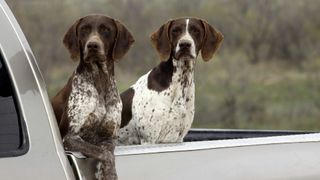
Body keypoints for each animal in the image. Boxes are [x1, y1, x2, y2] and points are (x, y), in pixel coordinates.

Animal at [51, 14, 134, 179]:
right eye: (84, 29)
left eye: (105, 29)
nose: (92, 46)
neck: (100, 80)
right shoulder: (70, 137)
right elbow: (103, 153)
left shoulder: (109, 137)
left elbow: (108, 152)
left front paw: (107, 172)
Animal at [117, 17, 222, 145]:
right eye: (175, 31)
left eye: (196, 31)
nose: (184, 44)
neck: (181, 82)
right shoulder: (149, 139)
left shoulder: (177, 139)